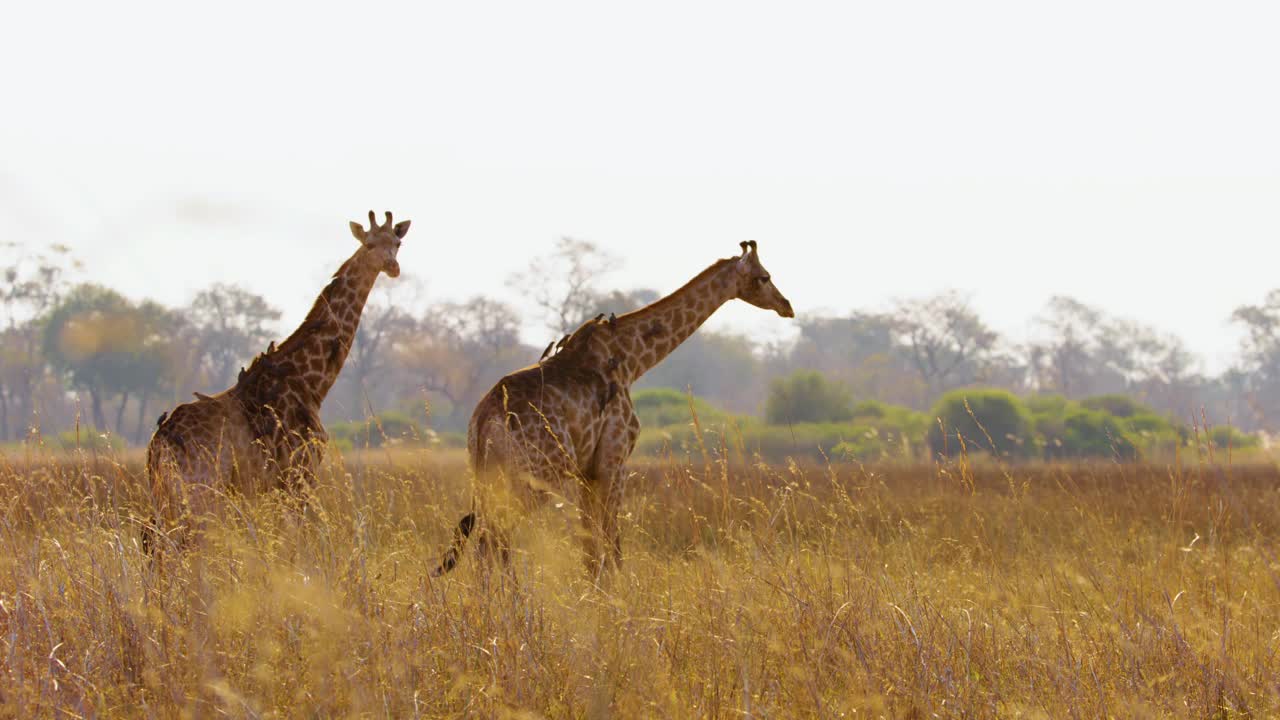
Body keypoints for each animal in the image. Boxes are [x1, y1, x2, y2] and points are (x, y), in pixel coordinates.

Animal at [147, 210, 412, 545]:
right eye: (369, 244)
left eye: (397, 243)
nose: (392, 267)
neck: (312, 381)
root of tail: (159, 442)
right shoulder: (298, 475)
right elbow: (296, 541)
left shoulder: (278, 485)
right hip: (198, 489)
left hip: (166, 493)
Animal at [435, 238, 788, 573]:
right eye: (764, 276)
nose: (787, 306)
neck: (633, 359)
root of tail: (483, 421)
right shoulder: (614, 462)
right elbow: (612, 547)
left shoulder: (586, 473)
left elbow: (590, 551)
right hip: (535, 478)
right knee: (493, 540)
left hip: (489, 475)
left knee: (489, 542)